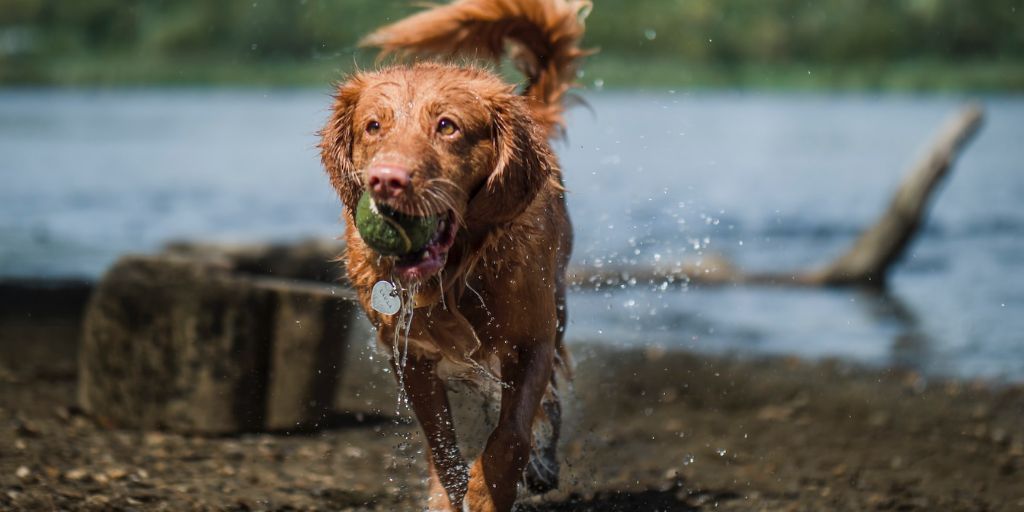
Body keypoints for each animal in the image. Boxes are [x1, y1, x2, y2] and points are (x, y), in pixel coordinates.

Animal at [319, 2, 593, 509]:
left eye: (447, 126)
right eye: (374, 126)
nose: (386, 180)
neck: (454, 272)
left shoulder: (533, 339)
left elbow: (511, 434)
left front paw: (488, 491)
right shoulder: (409, 354)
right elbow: (440, 441)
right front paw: (451, 493)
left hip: (559, 305)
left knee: (549, 403)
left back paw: (543, 462)